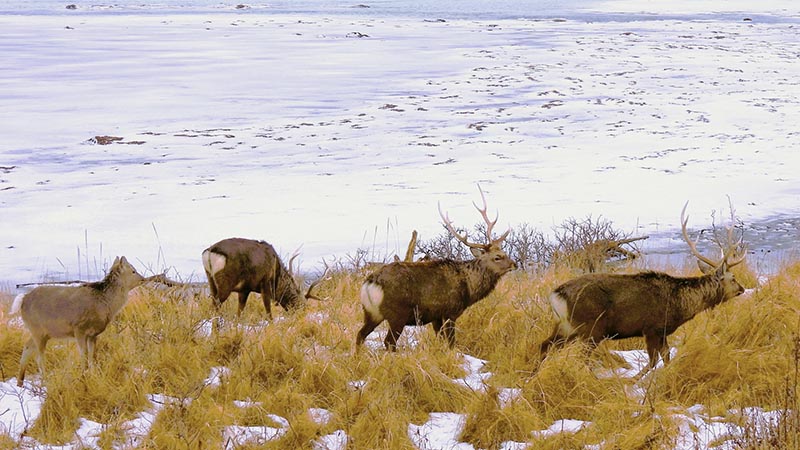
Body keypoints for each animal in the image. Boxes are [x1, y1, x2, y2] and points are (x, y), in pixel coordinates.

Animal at [12, 256, 147, 386]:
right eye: (133, 271)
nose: (144, 279)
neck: (106, 305)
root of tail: (22, 300)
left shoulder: (93, 334)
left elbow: (92, 356)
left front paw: (93, 375)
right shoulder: (79, 328)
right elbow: (84, 355)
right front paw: (84, 377)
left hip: (42, 332)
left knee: (27, 347)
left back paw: (20, 382)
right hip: (37, 329)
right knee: (39, 358)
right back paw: (44, 382)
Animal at [354, 186, 516, 352]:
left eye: (504, 252)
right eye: (497, 257)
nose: (514, 264)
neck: (469, 288)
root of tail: (370, 284)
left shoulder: (435, 317)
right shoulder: (449, 312)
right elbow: (451, 343)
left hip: (371, 313)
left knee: (360, 335)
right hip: (397, 314)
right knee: (388, 342)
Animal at [540, 203, 748, 372]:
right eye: (733, 277)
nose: (743, 289)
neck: (680, 305)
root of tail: (556, 295)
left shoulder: (662, 332)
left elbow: (666, 358)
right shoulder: (652, 328)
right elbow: (653, 361)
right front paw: (634, 382)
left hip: (566, 326)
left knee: (544, 345)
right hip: (590, 328)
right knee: (580, 357)